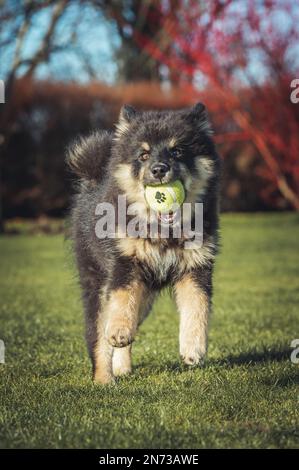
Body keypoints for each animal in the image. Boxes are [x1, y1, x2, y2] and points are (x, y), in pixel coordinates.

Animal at [68, 104, 223, 384]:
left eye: (177, 150)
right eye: (143, 155)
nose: (159, 169)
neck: (163, 231)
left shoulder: (196, 267)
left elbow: (197, 307)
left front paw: (193, 349)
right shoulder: (124, 263)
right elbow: (121, 301)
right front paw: (119, 330)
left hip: (146, 296)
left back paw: (121, 367)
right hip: (97, 285)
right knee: (99, 336)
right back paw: (104, 379)